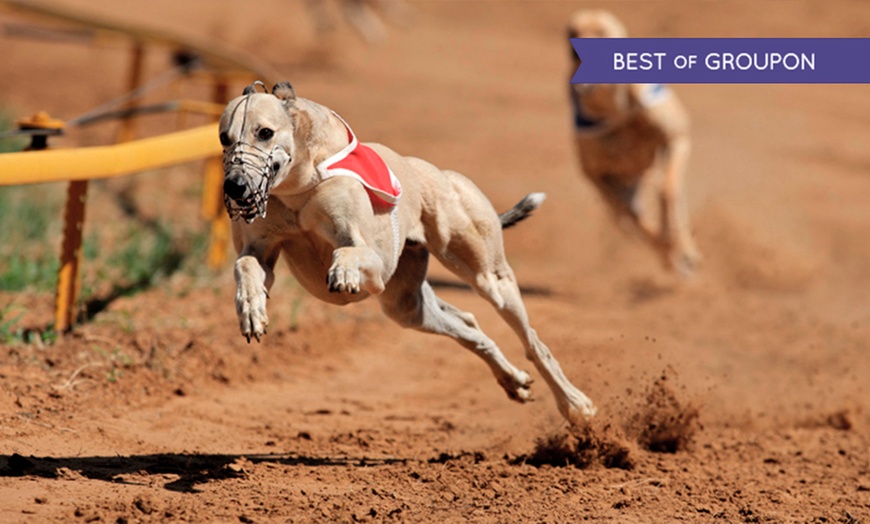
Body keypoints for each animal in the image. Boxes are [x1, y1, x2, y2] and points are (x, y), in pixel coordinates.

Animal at [568, 9, 704, 278]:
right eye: (571, 33)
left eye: (603, 32)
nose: (576, 52)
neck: (617, 110)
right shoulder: (598, 176)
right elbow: (635, 219)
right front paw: (670, 254)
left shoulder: (677, 138)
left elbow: (667, 191)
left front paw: (680, 248)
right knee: (631, 221)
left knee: (671, 201)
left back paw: (683, 249)